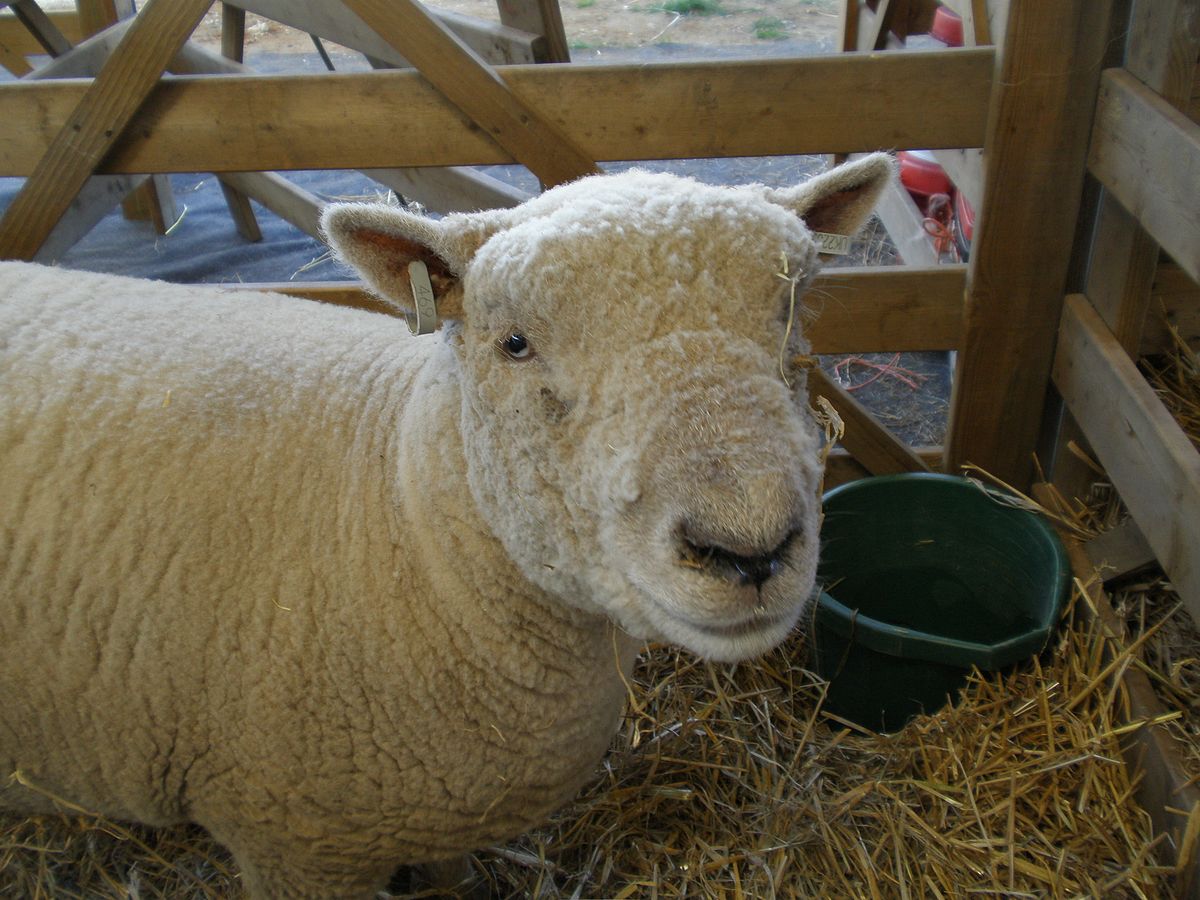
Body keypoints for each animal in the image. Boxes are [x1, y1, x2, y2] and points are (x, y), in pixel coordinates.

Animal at [0, 154, 892, 898]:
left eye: (791, 314)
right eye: (514, 344)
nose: (751, 548)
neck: (402, 504)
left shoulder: (447, 811)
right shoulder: (296, 844)